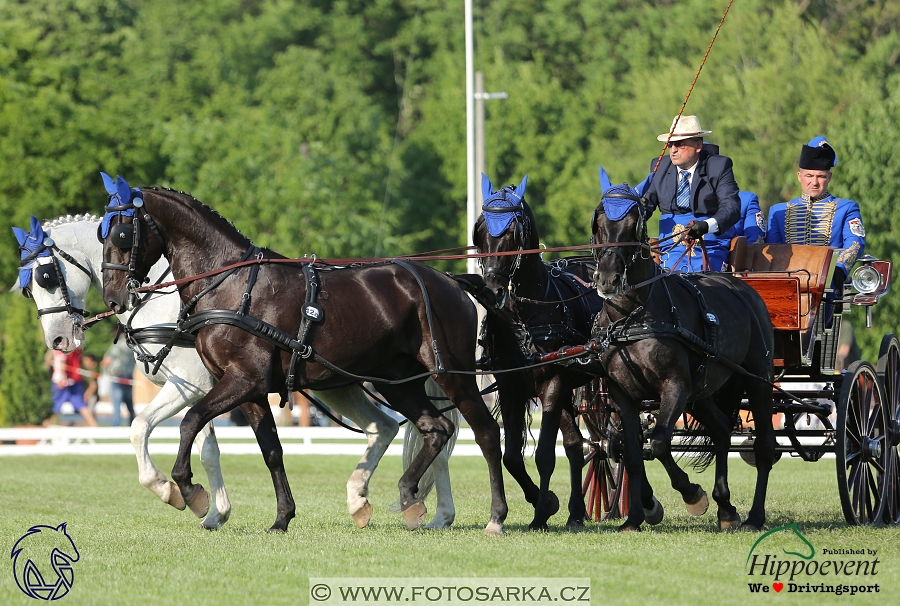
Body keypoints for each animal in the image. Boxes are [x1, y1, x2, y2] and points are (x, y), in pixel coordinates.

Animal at [15, 215, 458, 532]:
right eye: (28, 289)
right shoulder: (206, 390)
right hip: (342, 386)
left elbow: (141, 427)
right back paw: (371, 503)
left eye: (46, 277)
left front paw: (170, 490)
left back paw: (433, 511)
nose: (58, 341)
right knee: (388, 427)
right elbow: (207, 448)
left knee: (438, 430)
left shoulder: (191, 387)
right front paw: (211, 509)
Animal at [100, 177, 512, 536]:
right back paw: (408, 495)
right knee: (434, 428)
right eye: (102, 234)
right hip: (398, 381)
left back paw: (495, 516)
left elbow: (190, 422)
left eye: (121, 233)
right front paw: (282, 517)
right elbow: (271, 450)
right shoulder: (248, 391)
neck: (230, 285)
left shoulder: (242, 380)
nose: (113, 298)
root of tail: (450, 281)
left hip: (452, 375)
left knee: (486, 433)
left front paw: (188, 491)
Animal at [472, 176, 604, 532]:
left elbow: (544, 454)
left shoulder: (553, 383)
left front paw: (541, 514)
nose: (492, 289)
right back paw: (576, 512)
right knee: (575, 445)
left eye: (512, 233)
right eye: (480, 232)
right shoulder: (512, 387)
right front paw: (544, 503)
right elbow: (512, 457)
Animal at [592, 182, 772, 532]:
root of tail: (741, 287)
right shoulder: (623, 395)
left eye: (633, 226)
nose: (607, 280)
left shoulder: (674, 385)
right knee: (721, 430)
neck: (633, 317)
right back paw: (726, 509)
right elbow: (632, 452)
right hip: (701, 393)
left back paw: (755, 516)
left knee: (764, 449)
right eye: (600, 226)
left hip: (758, 381)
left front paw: (692, 495)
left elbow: (660, 441)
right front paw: (635, 517)